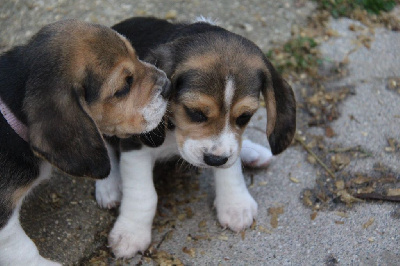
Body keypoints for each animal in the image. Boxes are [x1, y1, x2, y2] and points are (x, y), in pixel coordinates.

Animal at [96, 16, 296, 258]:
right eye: (195, 112)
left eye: (244, 117)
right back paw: (108, 187)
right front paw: (131, 233)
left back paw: (253, 153)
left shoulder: (228, 146)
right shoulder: (135, 145)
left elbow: (230, 167)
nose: (214, 160)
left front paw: (235, 204)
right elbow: (144, 195)